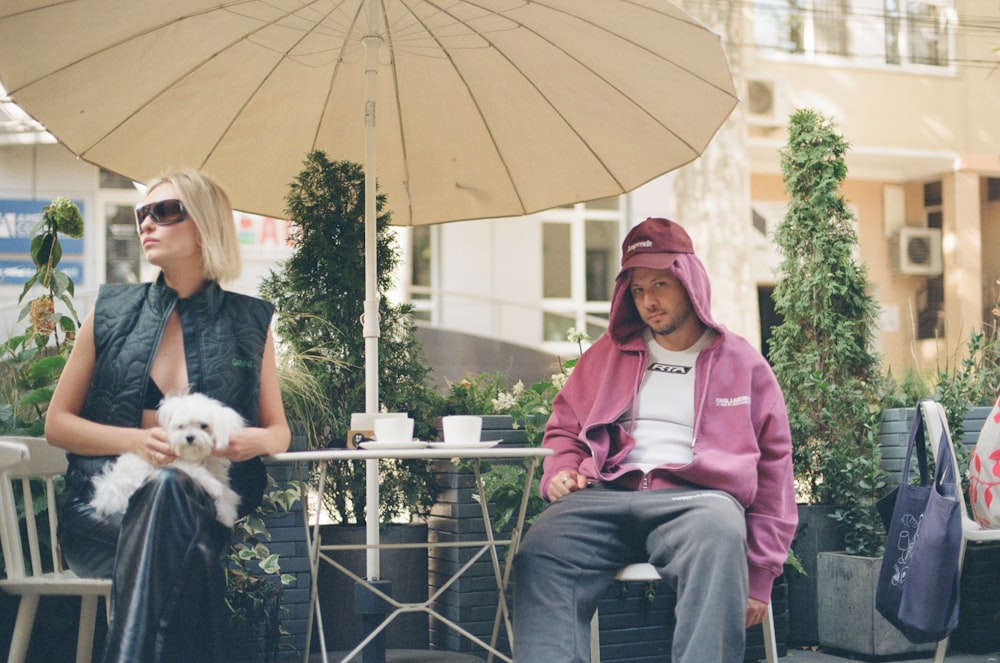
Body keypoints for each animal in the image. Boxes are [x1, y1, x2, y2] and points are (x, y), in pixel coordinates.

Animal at [91, 392, 245, 528]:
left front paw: (226, 514)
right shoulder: (171, 461)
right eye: (180, 426)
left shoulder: (218, 473)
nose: (189, 437)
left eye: (203, 426)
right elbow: (196, 470)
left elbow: (228, 494)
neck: (195, 455)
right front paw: (214, 486)